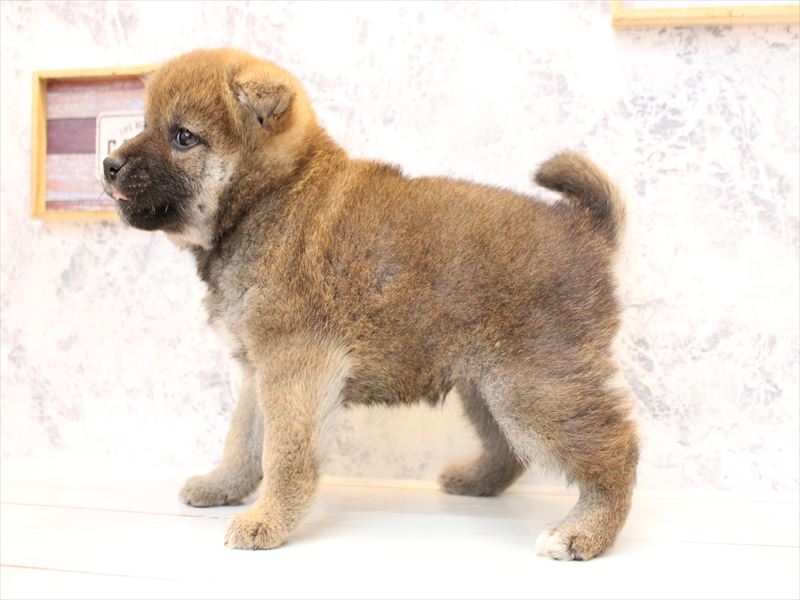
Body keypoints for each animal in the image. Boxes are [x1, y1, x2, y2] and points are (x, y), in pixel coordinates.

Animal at [102, 48, 639, 560]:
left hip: (534, 386)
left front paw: (267, 521)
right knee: (511, 451)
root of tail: (582, 227)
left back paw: (584, 532)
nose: (108, 166)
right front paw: (223, 486)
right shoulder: (260, 368)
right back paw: (476, 482)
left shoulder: (294, 365)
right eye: (144, 125)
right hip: (487, 385)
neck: (271, 199)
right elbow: (242, 438)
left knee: (618, 451)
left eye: (183, 137)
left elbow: (282, 454)